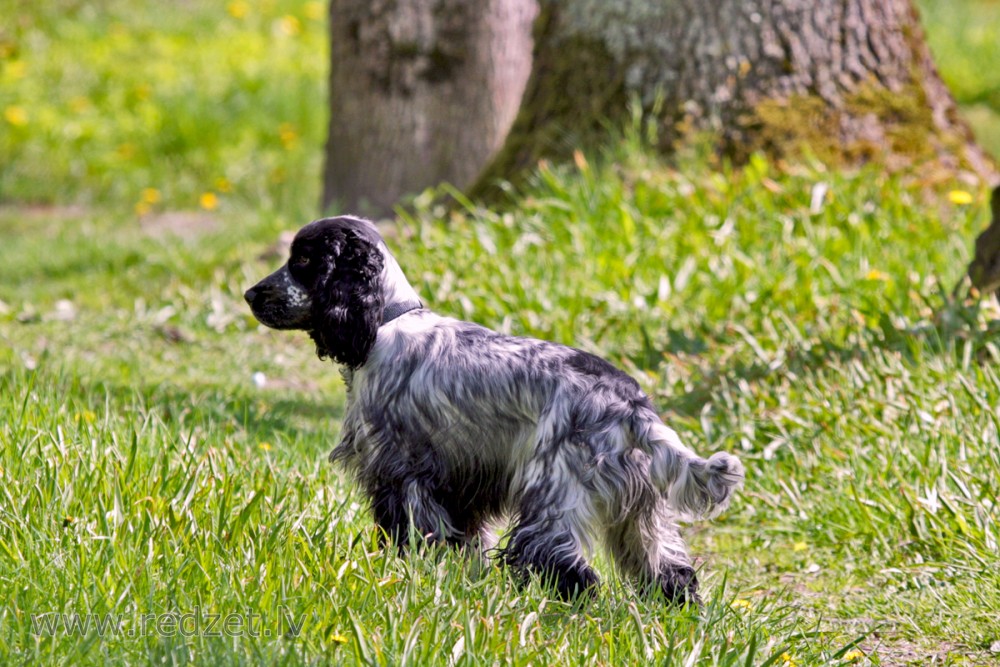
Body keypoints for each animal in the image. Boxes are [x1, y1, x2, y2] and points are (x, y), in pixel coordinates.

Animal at [242, 217, 744, 604]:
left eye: (303, 261)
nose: (250, 294)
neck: (385, 322)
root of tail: (628, 403)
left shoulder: (400, 471)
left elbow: (412, 532)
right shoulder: (461, 482)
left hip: (552, 492)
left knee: (565, 566)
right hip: (639, 511)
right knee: (669, 569)